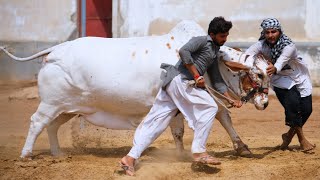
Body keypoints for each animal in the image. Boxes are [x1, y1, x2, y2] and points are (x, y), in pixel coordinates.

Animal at [1, 20, 268, 159]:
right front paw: (181, 155)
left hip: (69, 108)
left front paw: (242, 147)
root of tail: (55, 50)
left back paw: (57, 153)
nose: (265, 103)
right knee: (37, 122)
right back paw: (26, 154)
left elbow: (223, 116)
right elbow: (180, 131)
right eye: (258, 74)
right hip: (51, 103)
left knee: (52, 126)